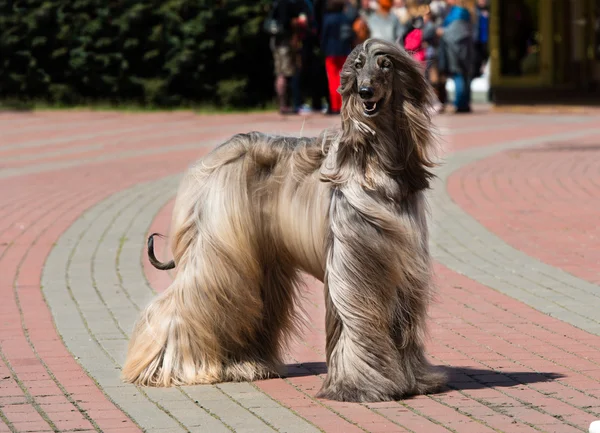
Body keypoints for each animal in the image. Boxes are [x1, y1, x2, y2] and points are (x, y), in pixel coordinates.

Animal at [123, 39, 446, 402]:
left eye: (385, 65)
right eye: (357, 65)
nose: (365, 92)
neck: (375, 162)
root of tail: (215, 157)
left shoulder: (398, 263)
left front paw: (413, 381)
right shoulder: (352, 262)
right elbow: (355, 320)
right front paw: (358, 386)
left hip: (258, 260)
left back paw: (244, 364)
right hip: (218, 249)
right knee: (187, 299)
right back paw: (164, 368)